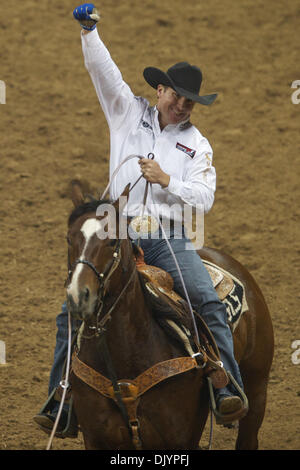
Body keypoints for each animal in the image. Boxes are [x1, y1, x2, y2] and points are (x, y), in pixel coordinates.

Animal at [66, 182, 274, 450]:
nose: (78, 295)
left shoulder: (181, 438)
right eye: (68, 239)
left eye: (112, 241)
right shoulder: (96, 438)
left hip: (258, 388)